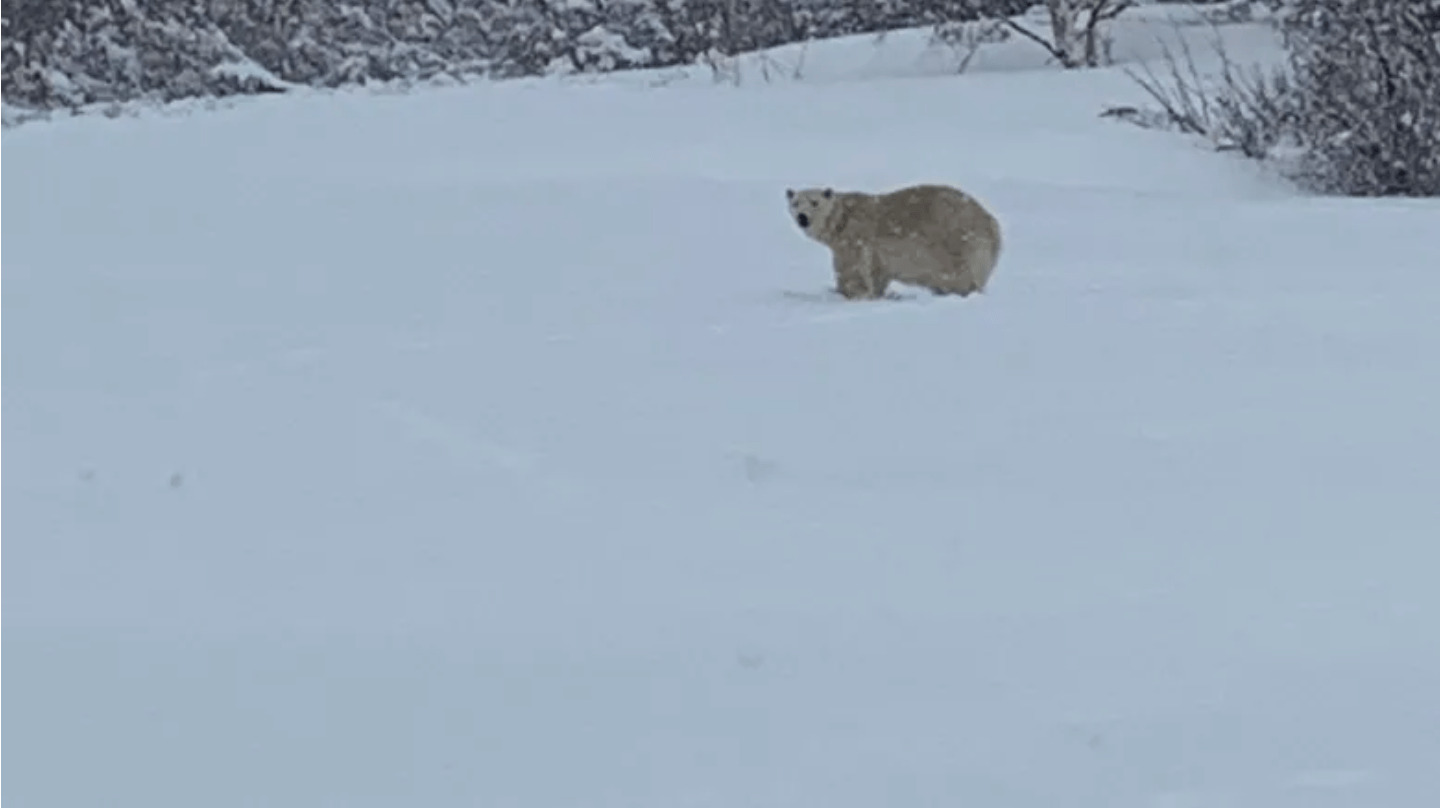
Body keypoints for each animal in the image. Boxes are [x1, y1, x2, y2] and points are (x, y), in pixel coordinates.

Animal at [789, 182, 1002, 299]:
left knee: (960, 276)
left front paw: (849, 293)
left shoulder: (855, 237)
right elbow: (877, 273)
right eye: (795, 203)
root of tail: (992, 224)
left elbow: (853, 270)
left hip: (959, 243)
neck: (843, 219)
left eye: (815, 202)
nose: (802, 217)